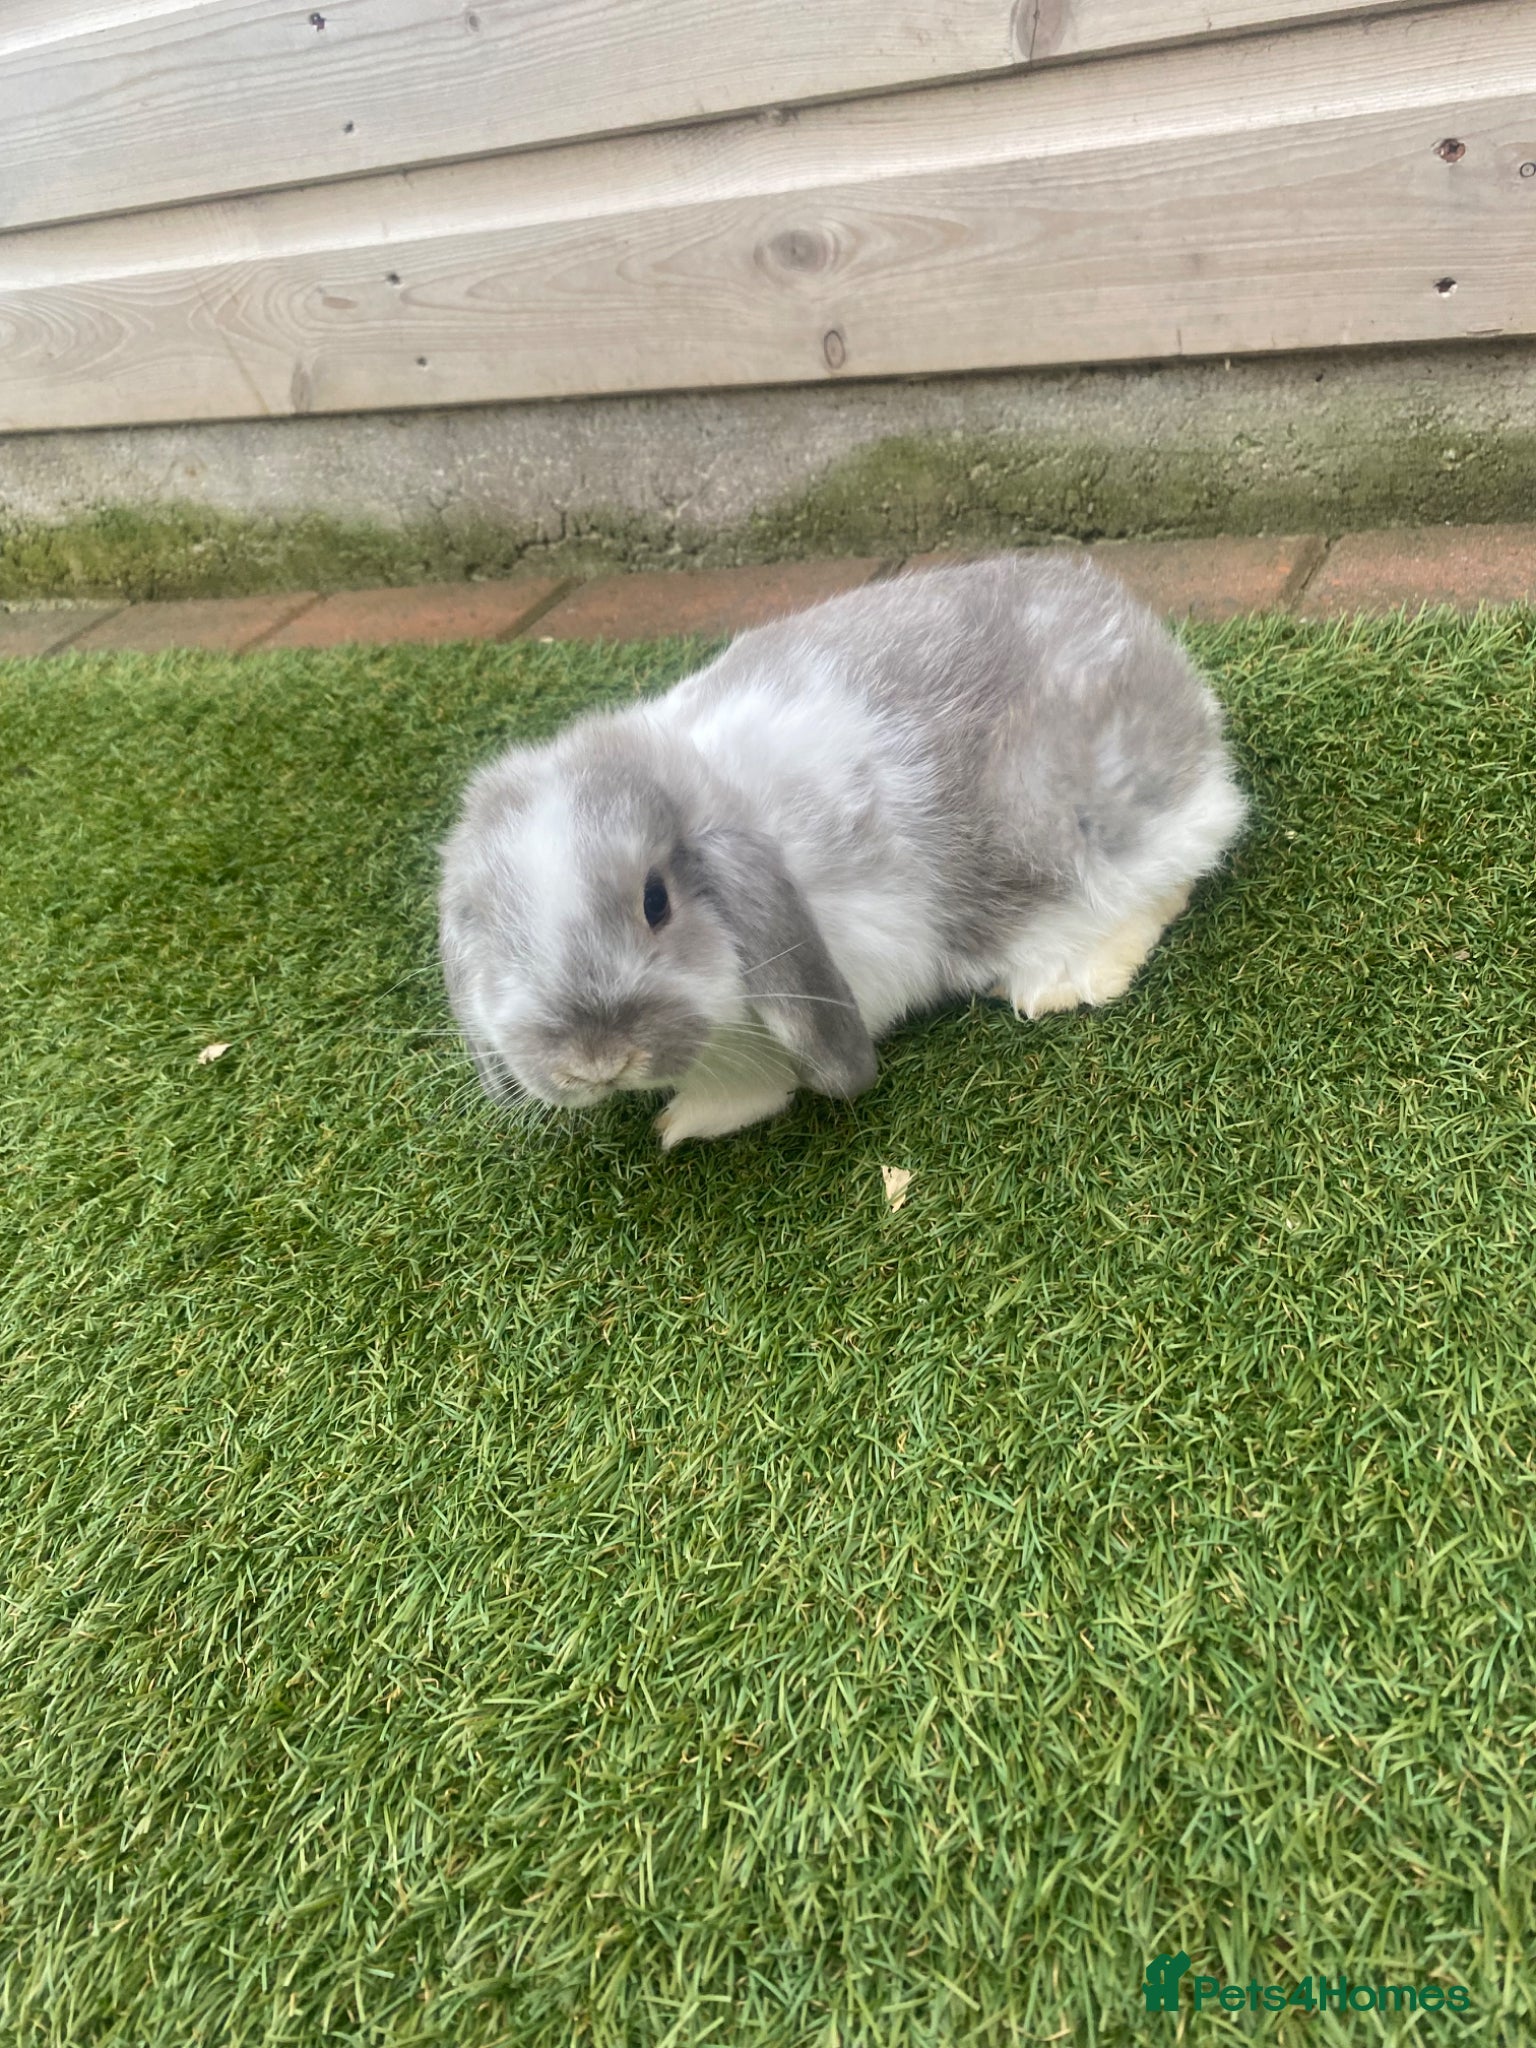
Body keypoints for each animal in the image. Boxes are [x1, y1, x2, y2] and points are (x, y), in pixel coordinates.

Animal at [437, 553, 1247, 1147]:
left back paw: (1065, 979)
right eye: (493, 933)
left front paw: (687, 1121)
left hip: (1075, 823)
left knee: (1166, 876)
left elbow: (753, 1084)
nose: (596, 1062)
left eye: (655, 902)